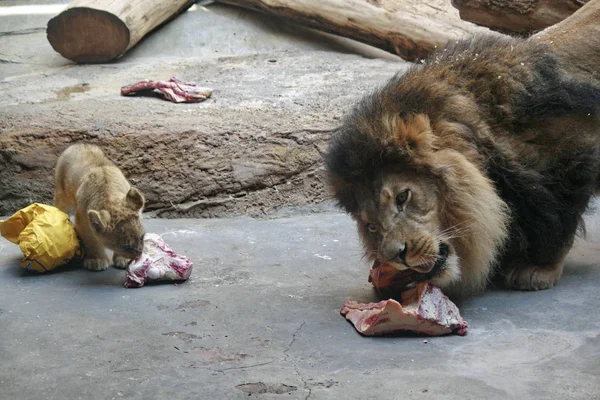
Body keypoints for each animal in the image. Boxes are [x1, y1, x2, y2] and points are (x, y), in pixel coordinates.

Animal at [326, 0, 600, 296]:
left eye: (403, 197)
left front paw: (539, 267)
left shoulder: (574, 152)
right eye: (371, 226)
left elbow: (562, 218)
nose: (395, 256)